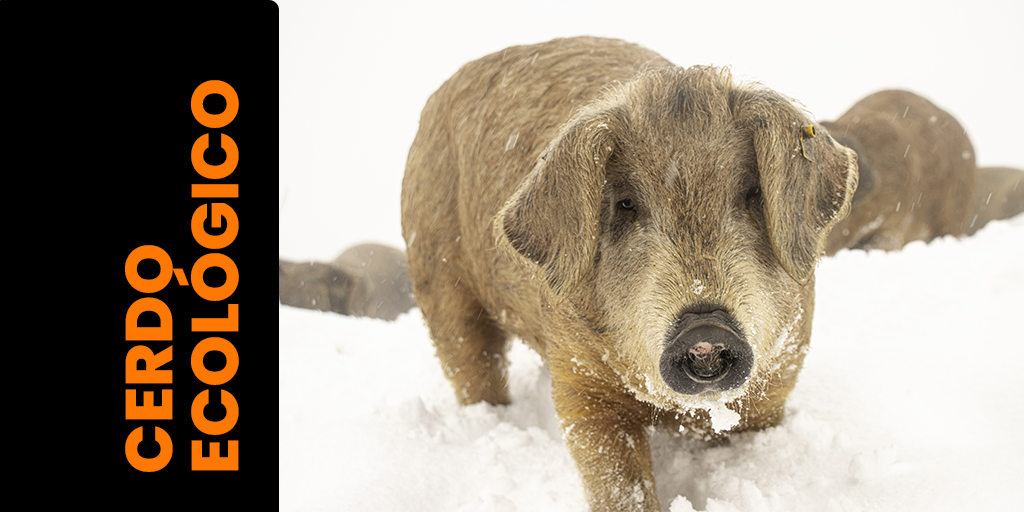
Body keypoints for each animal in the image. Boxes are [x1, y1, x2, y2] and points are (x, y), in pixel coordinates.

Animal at [401, 37, 858, 512]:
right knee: (472, 364)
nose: (704, 326)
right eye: (626, 204)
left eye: (751, 192)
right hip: (436, 276)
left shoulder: (776, 385)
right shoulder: (580, 387)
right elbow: (619, 480)